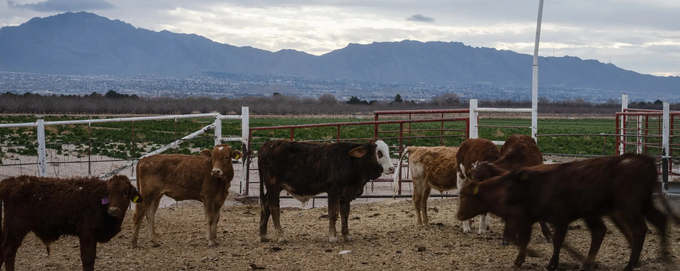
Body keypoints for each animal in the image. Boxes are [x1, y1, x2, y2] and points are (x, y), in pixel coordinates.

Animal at [0, 175, 140, 270]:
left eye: (125, 192)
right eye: (109, 193)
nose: (113, 210)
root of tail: (11, 182)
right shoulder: (86, 235)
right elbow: (88, 259)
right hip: (16, 228)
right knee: (9, 251)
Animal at [456, 155, 680, 271]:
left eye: (466, 197)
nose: (458, 216)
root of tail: (644, 159)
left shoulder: (557, 218)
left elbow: (556, 241)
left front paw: (552, 263)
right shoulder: (528, 220)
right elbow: (525, 240)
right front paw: (520, 260)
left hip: (629, 207)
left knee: (638, 229)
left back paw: (630, 263)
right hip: (641, 205)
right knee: (658, 221)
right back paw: (663, 257)